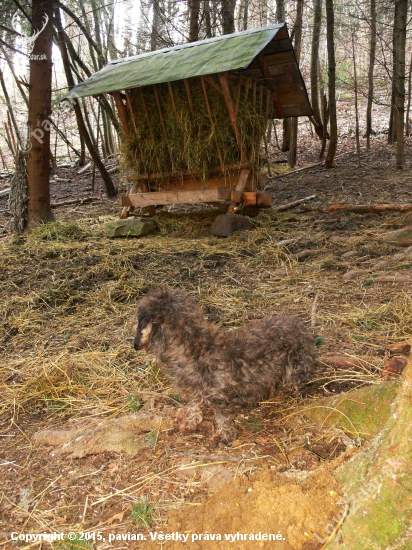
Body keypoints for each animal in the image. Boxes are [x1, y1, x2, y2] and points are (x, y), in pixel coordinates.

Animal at [134, 286, 316, 446]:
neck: (194, 347)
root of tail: (300, 325)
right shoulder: (192, 391)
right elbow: (193, 406)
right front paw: (189, 423)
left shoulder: (221, 398)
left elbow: (223, 419)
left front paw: (223, 437)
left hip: (297, 367)